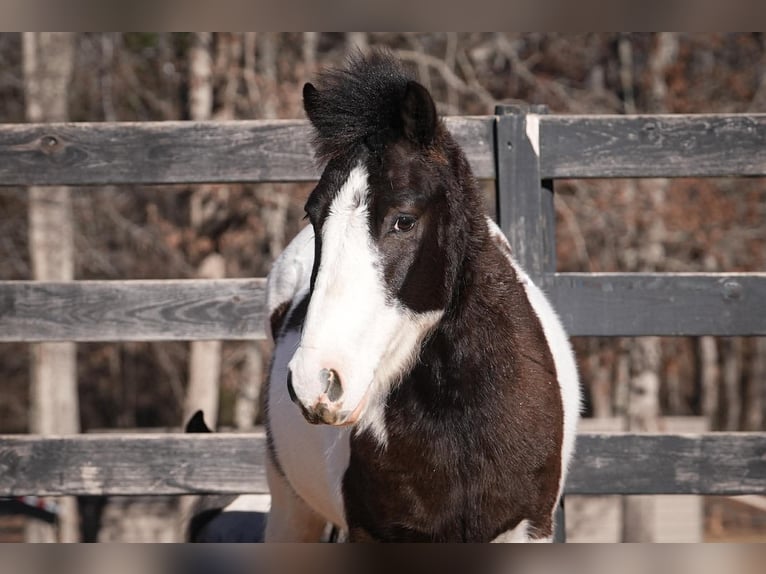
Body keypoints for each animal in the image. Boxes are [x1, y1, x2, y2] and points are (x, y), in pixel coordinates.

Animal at [263, 51, 581, 542]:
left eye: (404, 220)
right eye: (313, 216)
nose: (317, 382)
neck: (461, 420)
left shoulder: (531, 527)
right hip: (290, 510)